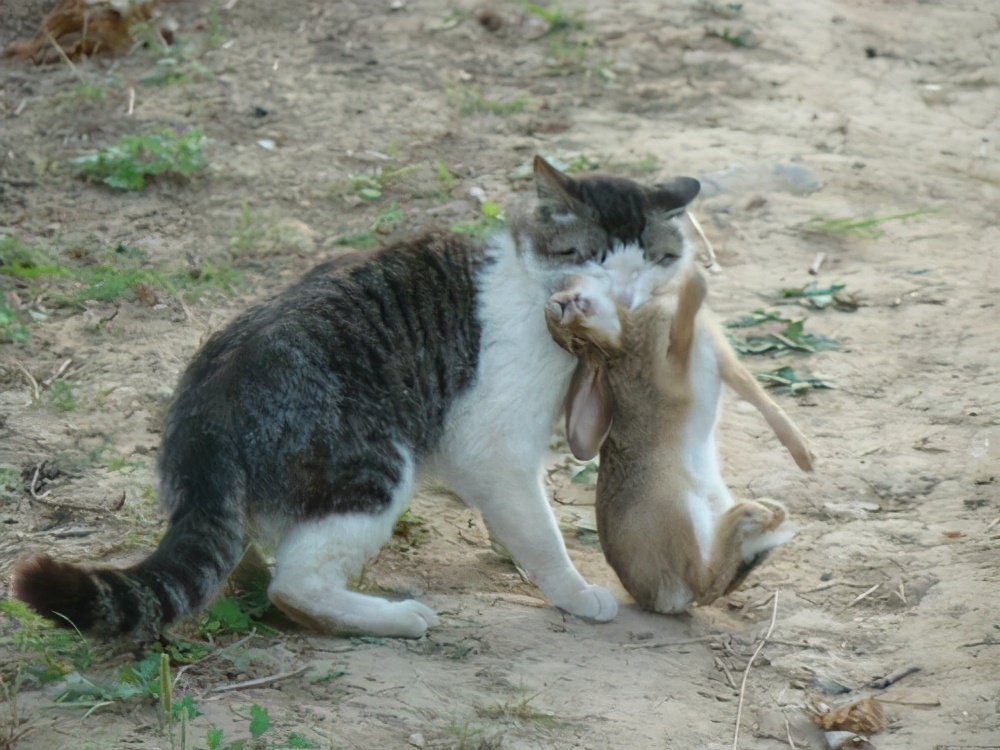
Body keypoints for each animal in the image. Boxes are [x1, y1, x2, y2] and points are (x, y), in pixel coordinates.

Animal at [11, 159, 700, 640]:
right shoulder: (493, 444)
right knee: (296, 584)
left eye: (648, 265)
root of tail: (207, 416)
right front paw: (574, 592)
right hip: (373, 465)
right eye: (591, 260)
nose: (619, 297)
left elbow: (517, 517)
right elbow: (541, 531)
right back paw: (394, 618)